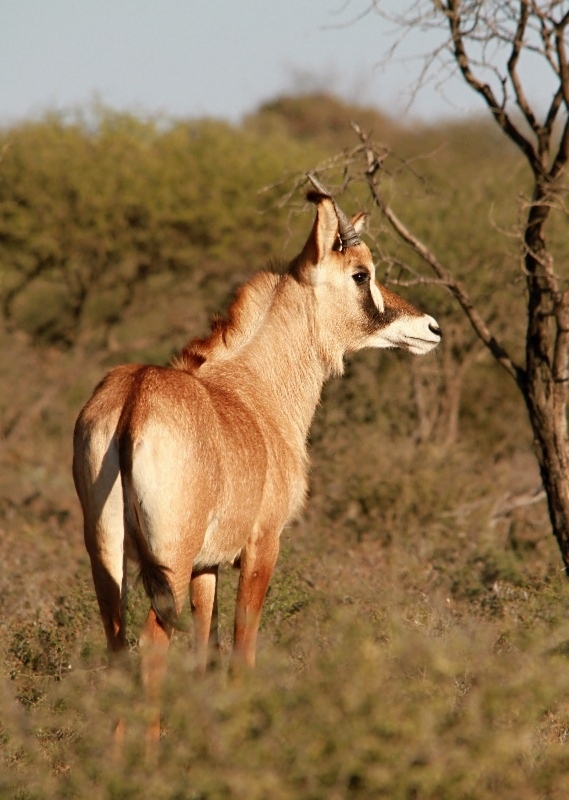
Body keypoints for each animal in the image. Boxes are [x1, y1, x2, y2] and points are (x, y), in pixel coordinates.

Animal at [71, 177, 442, 744]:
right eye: (361, 273)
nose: (431, 327)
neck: (254, 387)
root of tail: (135, 398)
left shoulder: (207, 567)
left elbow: (204, 650)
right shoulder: (262, 545)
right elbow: (241, 652)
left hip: (109, 558)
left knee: (117, 646)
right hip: (169, 562)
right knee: (153, 645)